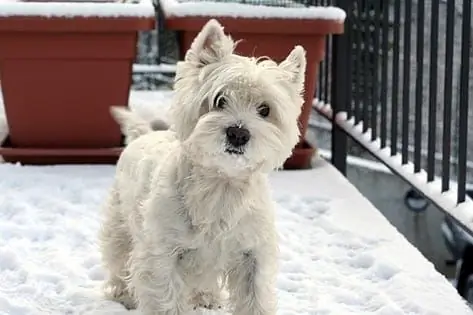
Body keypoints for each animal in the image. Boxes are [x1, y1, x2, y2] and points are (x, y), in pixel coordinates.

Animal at [99, 19, 306, 315]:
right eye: (219, 100)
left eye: (265, 109)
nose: (238, 134)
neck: (220, 186)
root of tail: (144, 134)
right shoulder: (162, 253)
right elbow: (166, 299)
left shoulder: (252, 252)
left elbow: (254, 297)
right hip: (120, 222)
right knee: (118, 257)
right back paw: (122, 294)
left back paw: (206, 297)